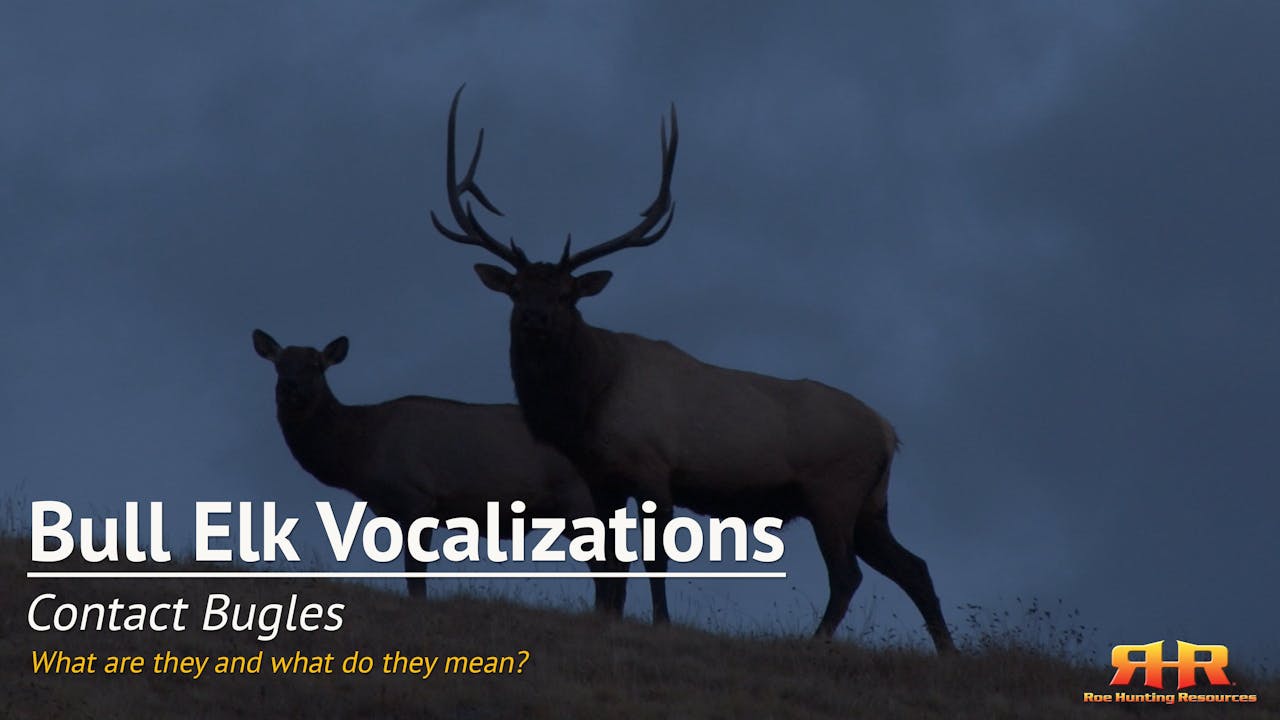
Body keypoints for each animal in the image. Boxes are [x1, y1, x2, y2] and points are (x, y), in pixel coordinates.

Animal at [251, 328, 643, 613]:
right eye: (279, 364)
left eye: (317, 365)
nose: (290, 388)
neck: (361, 452)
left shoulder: (416, 496)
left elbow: (415, 572)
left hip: (579, 500)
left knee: (609, 563)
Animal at [429, 87, 956, 653]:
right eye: (517, 290)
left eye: (568, 295)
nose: (534, 318)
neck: (589, 401)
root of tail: (888, 432)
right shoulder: (601, 479)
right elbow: (609, 563)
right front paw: (606, 618)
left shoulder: (654, 468)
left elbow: (653, 559)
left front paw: (660, 624)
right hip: (871, 504)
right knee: (914, 566)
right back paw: (946, 650)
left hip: (833, 489)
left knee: (848, 574)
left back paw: (816, 642)